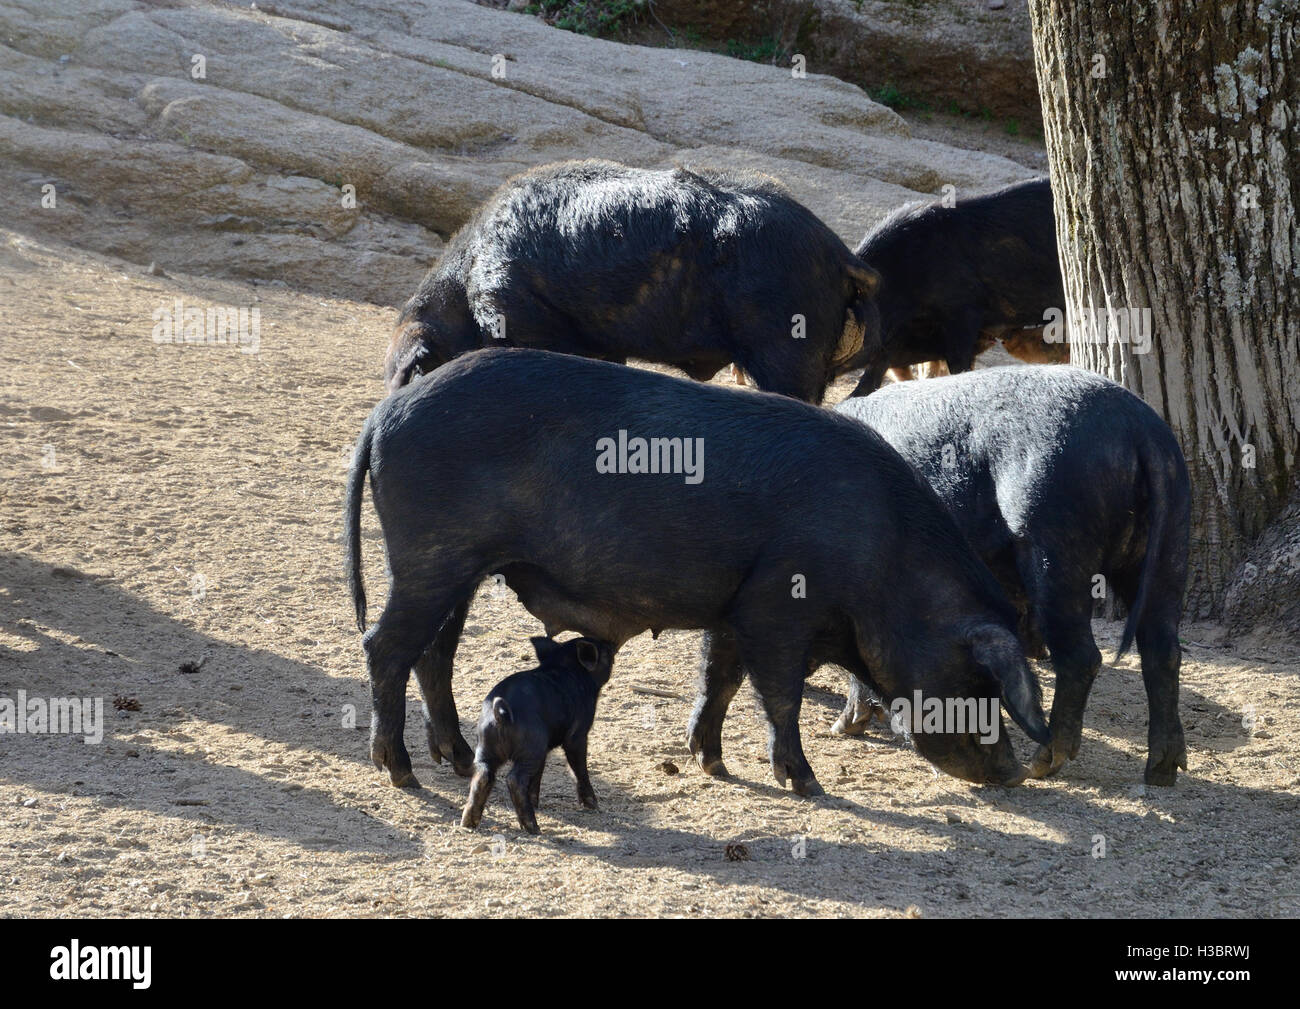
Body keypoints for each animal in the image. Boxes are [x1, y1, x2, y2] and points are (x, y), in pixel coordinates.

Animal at [340, 345, 1050, 795]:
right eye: (979, 681)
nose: (1016, 772)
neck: (886, 565)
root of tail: (382, 416)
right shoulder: (777, 606)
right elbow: (779, 694)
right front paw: (808, 784)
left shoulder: (737, 604)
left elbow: (721, 679)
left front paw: (710, 764)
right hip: (430, 556)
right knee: (385, 646)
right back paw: (400, 772)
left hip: (457, 569)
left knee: (435, 654)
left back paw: (458, 762)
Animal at [384, 157, 883, 403]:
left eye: (412, 373)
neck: (466, 287)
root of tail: (840, 254)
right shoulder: (601, 344)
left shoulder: (514, 311)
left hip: (786, 341)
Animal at [462, 639, 613, 837]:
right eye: (605, 652)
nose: (611, 644)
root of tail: (500, 714)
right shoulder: (578, 733)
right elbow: (578, 766)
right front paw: (593, 805)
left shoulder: (545, 749)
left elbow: (538, 774)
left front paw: (536, 802)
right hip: (531, 746)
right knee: (514, 779)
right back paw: (534, 828)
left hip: (487, 744)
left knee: (483, 774)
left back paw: (468, 824)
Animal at [832, 366, 1190, 785]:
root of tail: (1139, 426)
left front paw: (845, 727)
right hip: (1172, 536)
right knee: (1163, 648)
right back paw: (1161, 773)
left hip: (1056, 541)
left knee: (1083, 656)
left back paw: (1043, 764)